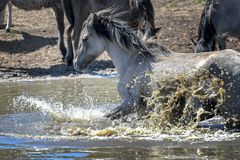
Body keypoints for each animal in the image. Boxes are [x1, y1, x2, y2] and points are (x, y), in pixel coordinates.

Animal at [74, 9, 240, 127]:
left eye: (85, 38)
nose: (76, 64)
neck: (132, 62)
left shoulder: (131, 103)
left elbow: (108, 116)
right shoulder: (143, 108)